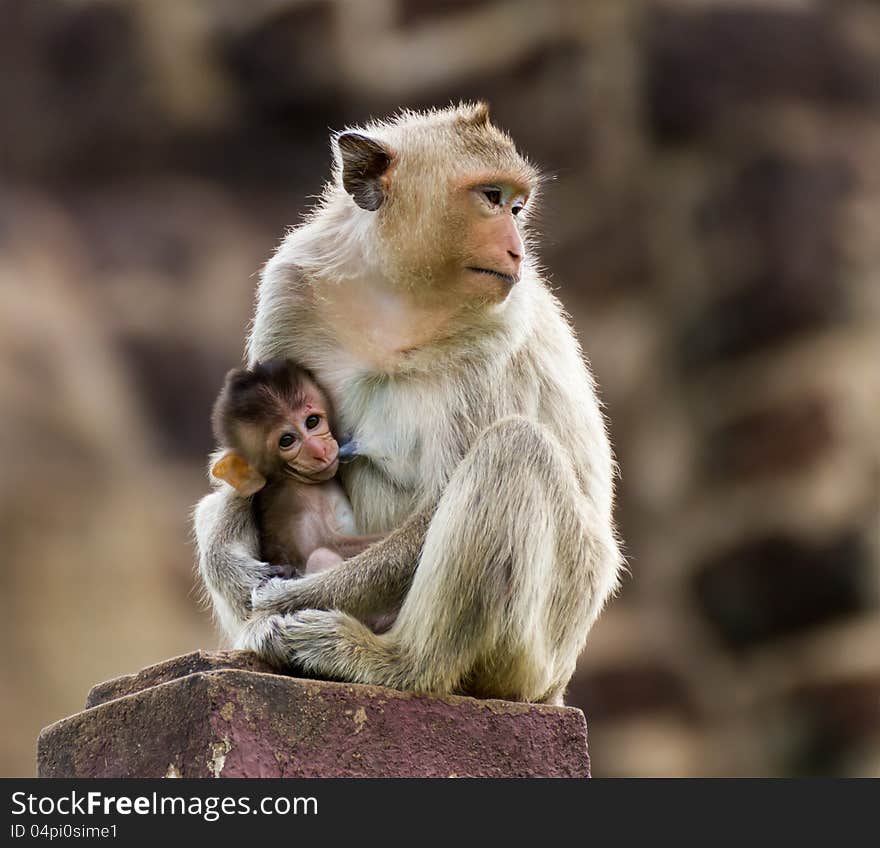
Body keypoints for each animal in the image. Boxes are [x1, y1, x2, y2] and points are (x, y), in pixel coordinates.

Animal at [213, 358, 382, 576]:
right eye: (287, 440)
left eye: (312, 421)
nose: (319, 450)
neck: (291, 478)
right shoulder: (298, 502)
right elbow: (326, 546)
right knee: (321, 556)